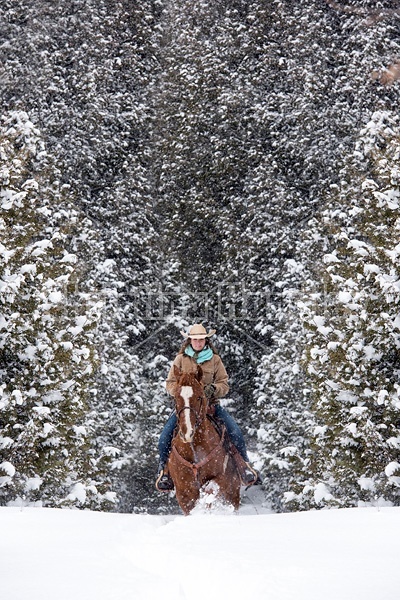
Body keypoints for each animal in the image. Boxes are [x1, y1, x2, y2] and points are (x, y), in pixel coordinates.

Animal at [166, 364, 241, 512]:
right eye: (176, 397)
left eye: (199, 397)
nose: (187, 432)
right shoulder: (183, 491)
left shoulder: (220, 479)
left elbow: (209, 491)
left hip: (234, 492)